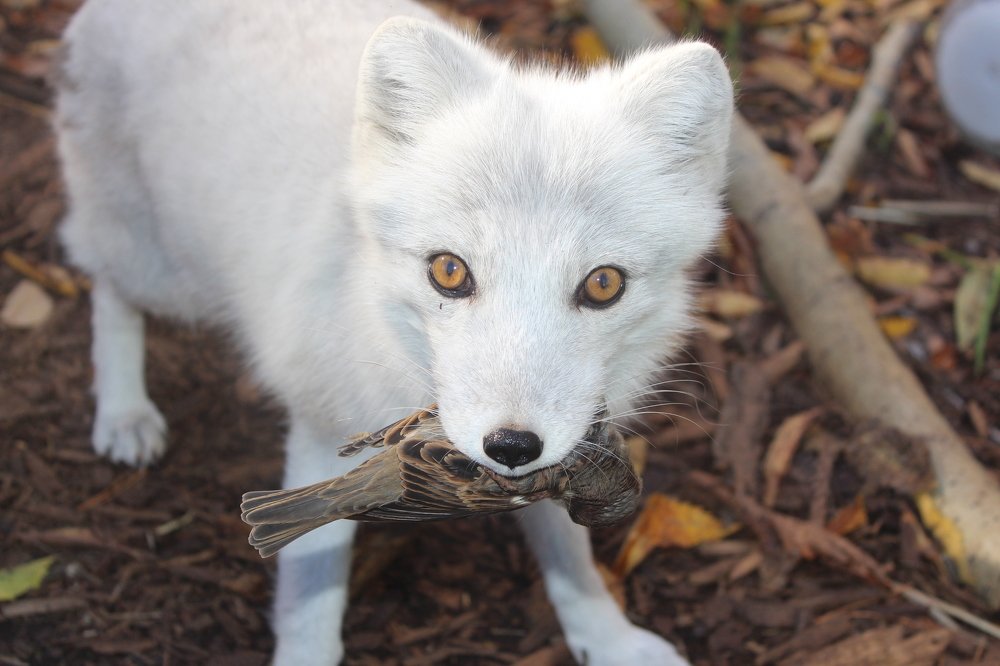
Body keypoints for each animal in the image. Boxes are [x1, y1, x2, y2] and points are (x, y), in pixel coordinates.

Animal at [54, 0, 734, 663]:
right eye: (449, 271)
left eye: (602, 284)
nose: (511, 446)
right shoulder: (321, 430)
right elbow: (311, 585)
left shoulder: (560, 462)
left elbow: (571, 559)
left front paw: (608, 637)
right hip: (162, 275)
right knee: (100, 280)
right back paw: (123, 412)